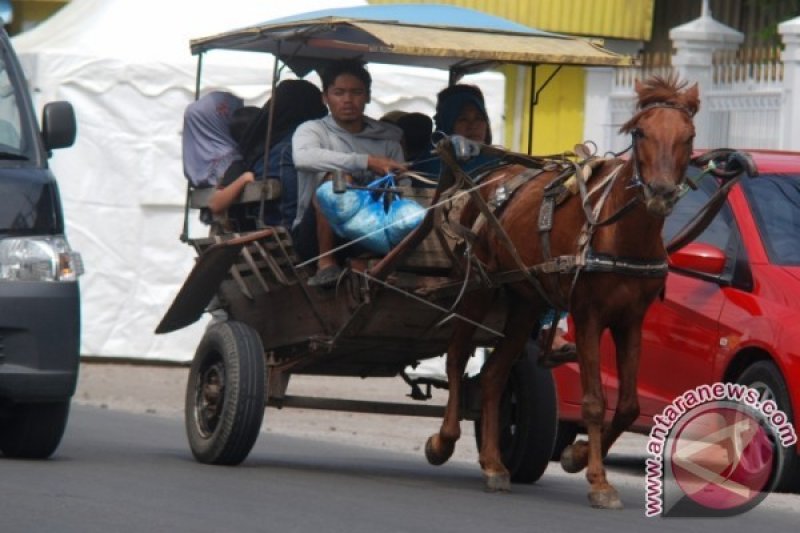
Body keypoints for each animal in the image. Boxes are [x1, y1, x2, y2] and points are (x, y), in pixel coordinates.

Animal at [424, 75, 700, 508]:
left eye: (688, 136)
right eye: (640, 132)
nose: (660, 193)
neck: (620, 230)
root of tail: (489, 176)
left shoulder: (630, 321)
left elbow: (627, 406)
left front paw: (576, 455)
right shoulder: (588, 315)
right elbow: (594, 401)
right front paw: (599, 481)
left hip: (525, 302)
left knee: (493, 375)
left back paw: (493, 463)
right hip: (480, 289)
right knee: (455, 357)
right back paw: (444, 440)